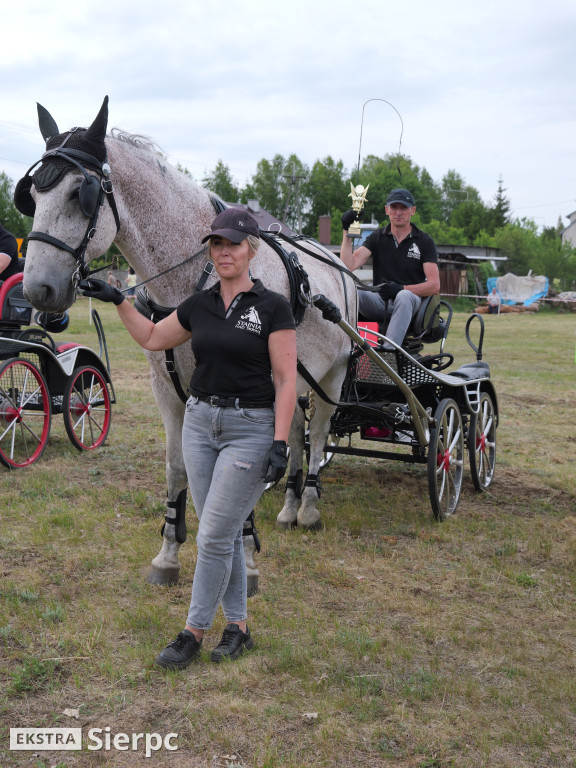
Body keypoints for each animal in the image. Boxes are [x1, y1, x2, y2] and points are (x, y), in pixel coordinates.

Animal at [17, 96, 356, 589]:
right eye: (33, 196)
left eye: (81, 193)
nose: (37, 291)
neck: (199, 274)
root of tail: (341, 264)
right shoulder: (169, 390)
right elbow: (178, 469)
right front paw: (169, 554)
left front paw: (245, 559)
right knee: (295, 433)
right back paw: (290, 505)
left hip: (332, 375)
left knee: (322, 430)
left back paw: (308, 507)